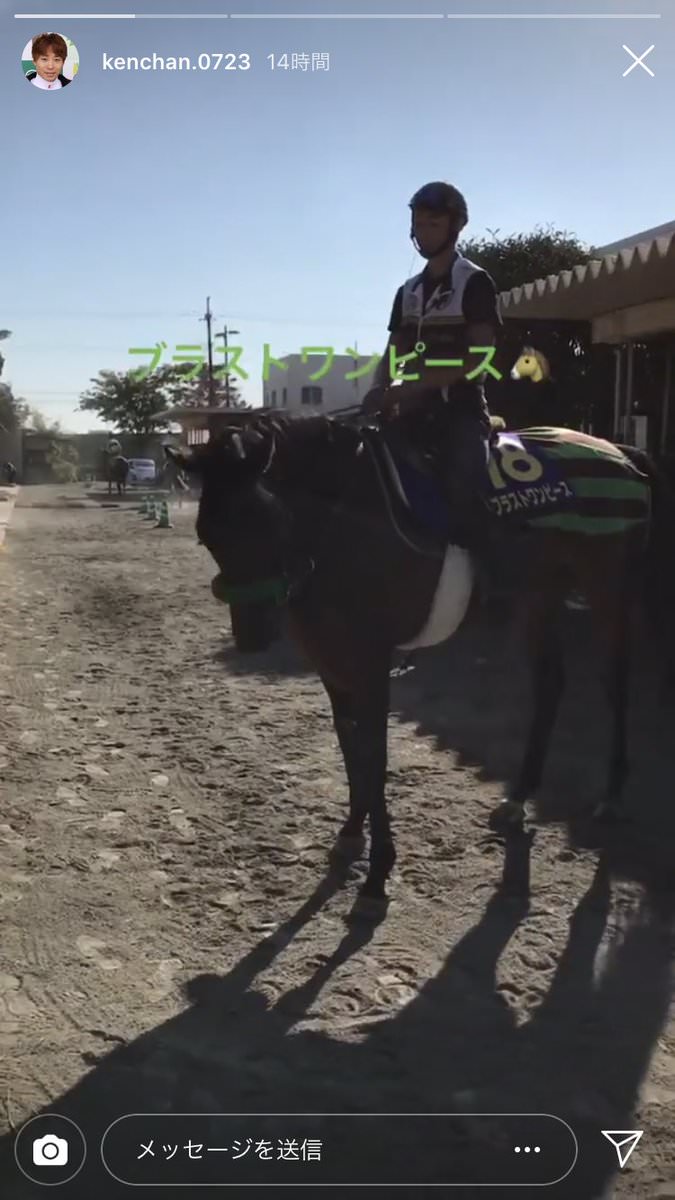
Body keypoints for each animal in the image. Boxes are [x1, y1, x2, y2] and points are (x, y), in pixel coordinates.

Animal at [164, 413, 675, 916]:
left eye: (262, 518)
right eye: (208, 535)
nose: (252, 635)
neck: (343, 523)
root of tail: (619, 452)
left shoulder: (371, 664)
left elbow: (374, 757)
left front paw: (377, 876)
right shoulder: (333, 664)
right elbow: (350, 748)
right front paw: (351, 834)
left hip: (607, 589)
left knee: (614, 681)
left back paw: (611, 795)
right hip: (539, 595)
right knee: (551, 683)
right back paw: (519, 798)